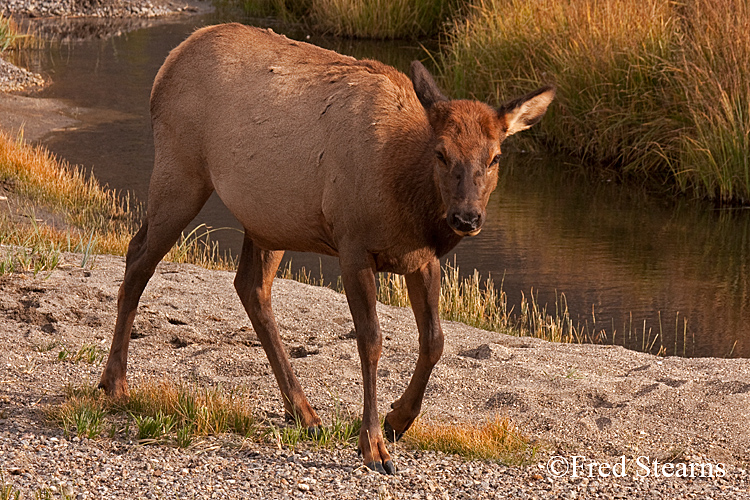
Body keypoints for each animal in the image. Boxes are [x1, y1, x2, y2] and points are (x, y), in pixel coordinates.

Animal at [100, 23, 556, 474]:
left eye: (495, 157)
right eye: (442, 154)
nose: (466, 217)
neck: (407, 196)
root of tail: (170, 62)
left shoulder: (420, 259)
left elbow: (435, 341)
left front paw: (398, 420)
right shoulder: (353, 245)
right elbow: (371, 340)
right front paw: (373, 446)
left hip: (268, 220)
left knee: (251, 287)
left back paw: (302, 411)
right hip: (181, 172)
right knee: (138, 257)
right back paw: (115, 384)